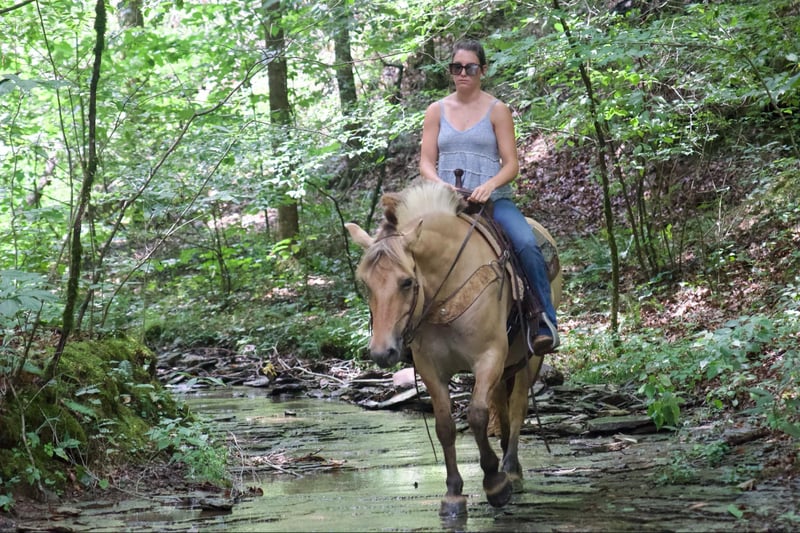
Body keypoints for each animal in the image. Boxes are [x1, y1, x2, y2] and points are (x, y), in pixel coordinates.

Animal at [345, 181, 562, 518]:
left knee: (516, 408)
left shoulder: (488, 357)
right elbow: (445, 426)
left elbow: (476, 416)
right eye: (365, 284)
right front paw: (453, 494)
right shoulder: (430, 368)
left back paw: (511, 470)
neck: (447, 288)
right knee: (502, 406)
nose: (382, 353)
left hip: (531, 357)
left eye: (406, 282)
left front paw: (495, 483)